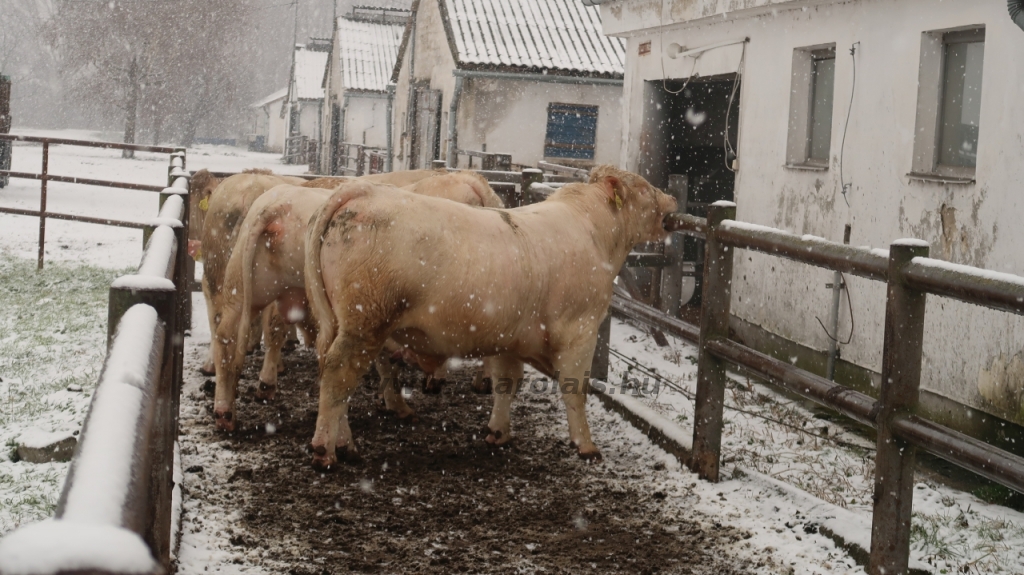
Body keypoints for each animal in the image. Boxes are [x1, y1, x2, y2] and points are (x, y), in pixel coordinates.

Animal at [301, 163, 679, 468]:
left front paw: (498, 432)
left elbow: (506, 383)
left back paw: (346, 445)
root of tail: (362, 192)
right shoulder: (580, 331)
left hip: (344, 324)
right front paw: (586, 445)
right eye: (646, 188)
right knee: (339, 375)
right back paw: (326, 451)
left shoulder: (509, 336)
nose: (672, 202)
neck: (595, 233)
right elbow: (575, 390)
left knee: (334, 372)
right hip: (366, 323)